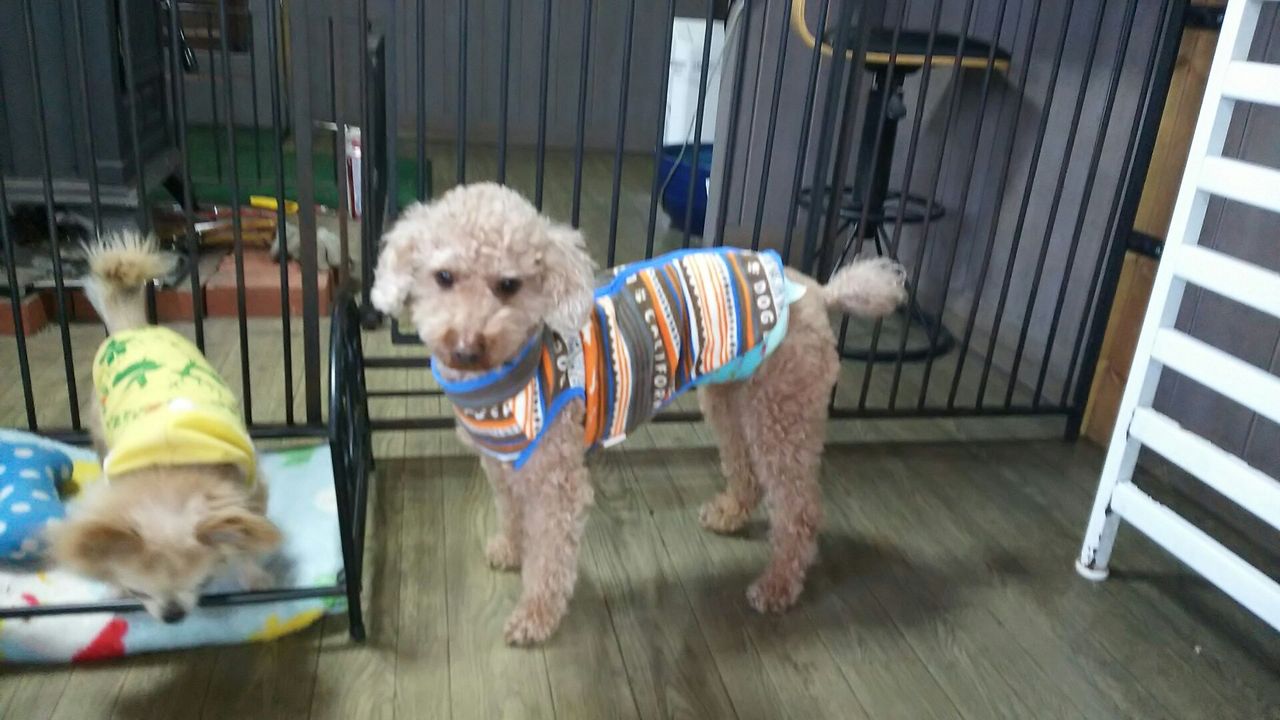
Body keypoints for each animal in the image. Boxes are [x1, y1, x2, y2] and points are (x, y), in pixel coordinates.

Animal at [48, 234, 281, 623]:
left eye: (203, 583)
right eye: (139, 592)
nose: (172, 615)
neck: (168, 470)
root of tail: (133, 329)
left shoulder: (249, 493)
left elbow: (244, 538)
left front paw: (253, 575)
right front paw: (112, 584)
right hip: (100, 432)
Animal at [372, 183, 906, 645]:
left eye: (508, 285)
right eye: (443, 277)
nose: (465, 347)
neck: (510, 368)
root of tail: (818, 291)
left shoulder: (554, 477)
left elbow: (550, 556)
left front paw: (535, 617)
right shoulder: (502, 462)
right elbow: (511, 512)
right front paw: (510, 548)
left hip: (783, 411)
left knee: (799, 511)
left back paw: (776, 586)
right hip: (731, 399)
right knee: (747, 472)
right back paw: (730, 514)